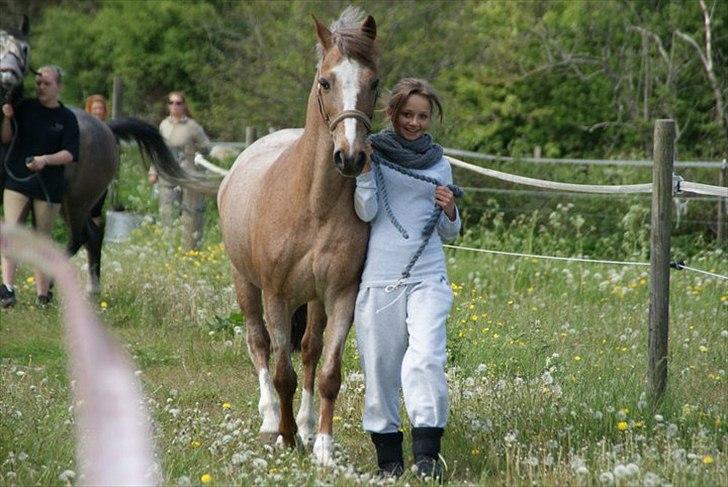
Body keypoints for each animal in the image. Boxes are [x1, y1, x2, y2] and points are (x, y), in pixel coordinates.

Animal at [1, 17, 205, 294]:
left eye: (25, 48)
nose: (8, 75)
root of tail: (106, 128)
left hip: (75, 200)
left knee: (80, 237)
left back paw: (54, 287)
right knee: (93, 235)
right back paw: (92, 289)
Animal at [216, 7, 378, 466]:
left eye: (374, 83)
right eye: (326, 81)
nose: (351, 157)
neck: (313, 205)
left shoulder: (340, 295)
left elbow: (326, 372)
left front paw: (321, 446)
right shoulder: (276, 293)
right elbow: (281, 371)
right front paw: (286, 439)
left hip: (314, 300)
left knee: (308, 349)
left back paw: (304, 427)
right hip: (246, 284)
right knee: (259, 344)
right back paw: (272, 420)